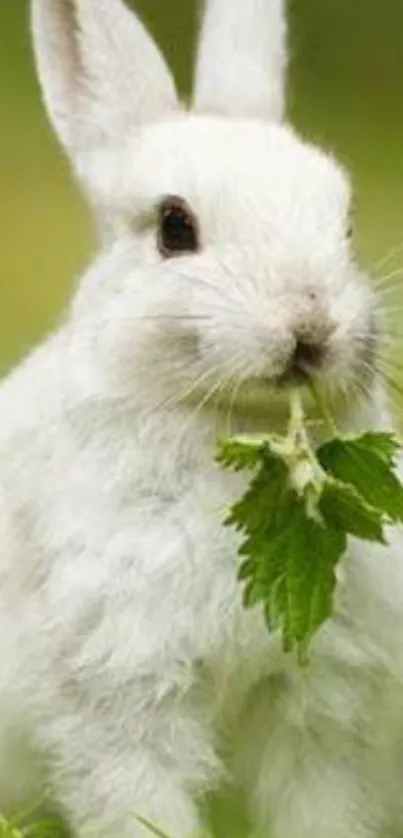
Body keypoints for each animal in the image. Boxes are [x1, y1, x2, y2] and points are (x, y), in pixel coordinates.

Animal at [0, 0, 403, 836]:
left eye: (345, 224)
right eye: (174, 227)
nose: (309, 325)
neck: (233, 433)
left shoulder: (320, 701)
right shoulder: (121, 692)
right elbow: (141, 801)